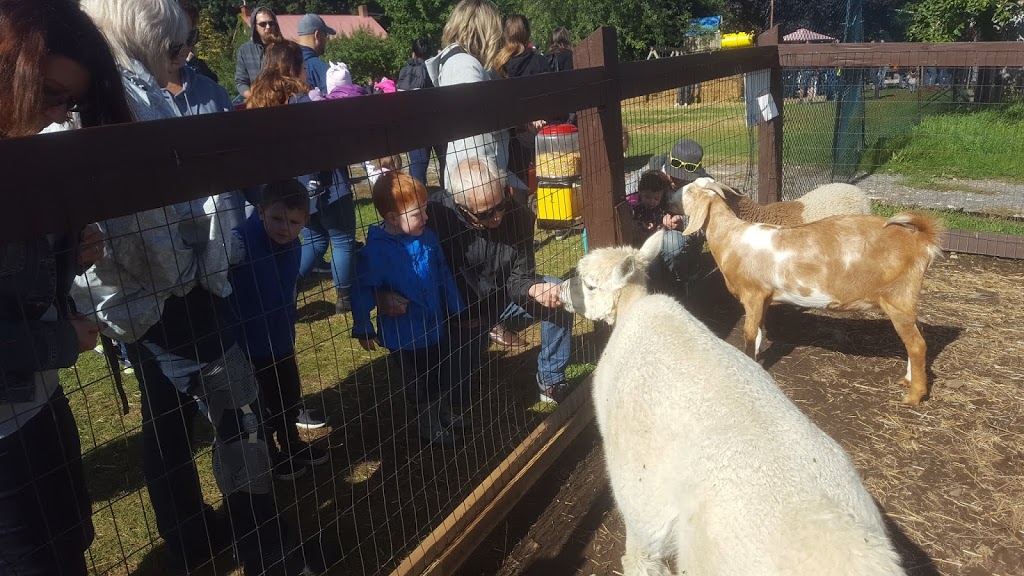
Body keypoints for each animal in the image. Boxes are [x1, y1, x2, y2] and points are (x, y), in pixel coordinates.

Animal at [671, 177, 942, 405]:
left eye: (690, 191)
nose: (670, 201)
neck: (731, 236)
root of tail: (921, 241)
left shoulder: (753, 294)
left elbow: (749, 334)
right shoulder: (764, 298)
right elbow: (758, 333)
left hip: (898, 298)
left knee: (917, 345)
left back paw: (914, 396)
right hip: (905, 300)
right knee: (916, 338)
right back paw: (907, 379)